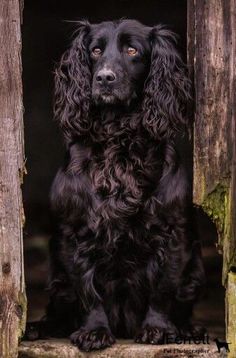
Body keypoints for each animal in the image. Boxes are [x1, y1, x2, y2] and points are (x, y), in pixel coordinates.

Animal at [26, 18, 206, 350]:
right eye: (95, 51)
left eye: (132, 50)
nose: (104, 78)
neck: (117, 139)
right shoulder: (75, 231)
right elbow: (88, 291)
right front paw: (94, 330)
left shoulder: (172, 230)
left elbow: (163, 288)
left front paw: (158, 328)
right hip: (56, 277)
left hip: (195, 273)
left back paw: (188, 330)